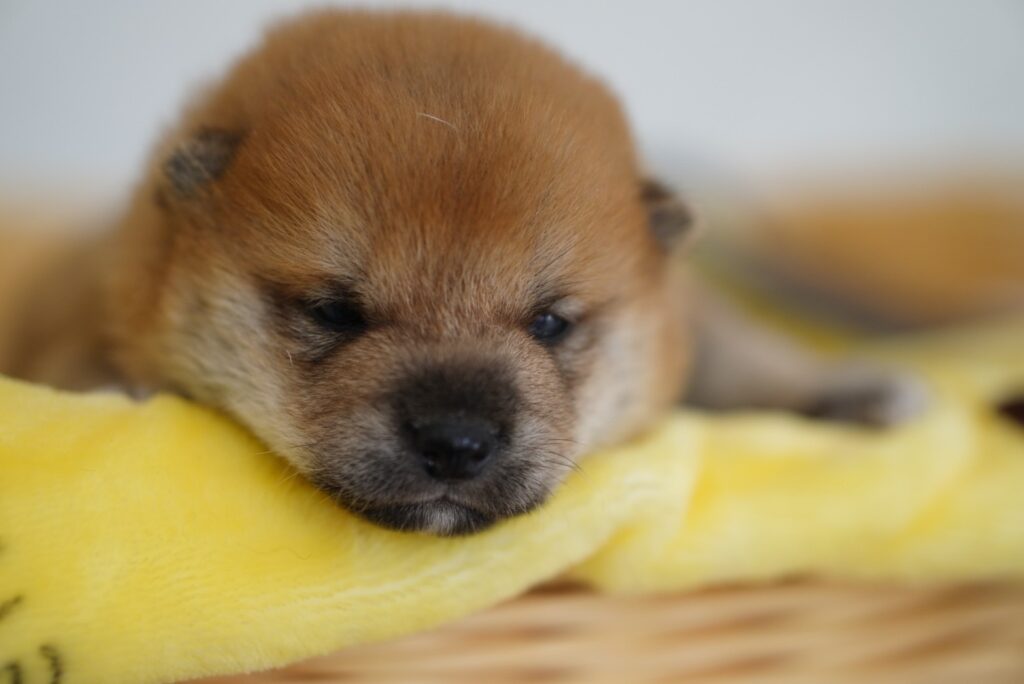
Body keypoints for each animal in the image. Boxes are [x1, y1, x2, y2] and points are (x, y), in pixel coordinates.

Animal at [0, 9, 925, 532]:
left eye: (550, 322)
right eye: (335, 312)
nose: (456, 441)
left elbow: (739, 357)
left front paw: (853, 392)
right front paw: (122, 393)